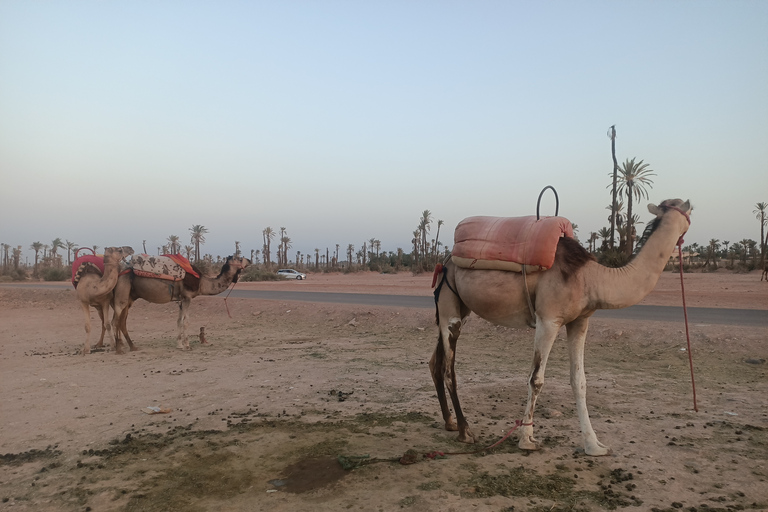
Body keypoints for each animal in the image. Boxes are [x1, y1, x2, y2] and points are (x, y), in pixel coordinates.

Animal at [112, 256, 249, 352]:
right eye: (238, 257)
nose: (249, 260)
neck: (201, 282)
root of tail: (119, 274)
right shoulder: (187, 297)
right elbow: (186, 321)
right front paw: (187, 346)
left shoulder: (181, 300)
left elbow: (178, 320)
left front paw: (179, 345)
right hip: (122, 294)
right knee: (115, 320)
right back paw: (118, 349)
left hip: (130, 298)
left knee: (122, 321)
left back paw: (132, 347)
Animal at [428, 199, 692, 456]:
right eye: (685, 208)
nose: (688, 215)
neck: (591, 278)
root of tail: (446, 260)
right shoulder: (548, 319)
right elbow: (536, 379)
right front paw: (527, 440)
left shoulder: (580, 321)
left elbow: (579, 381)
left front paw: (594, 446)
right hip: (449, 302)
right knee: (449, 368)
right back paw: (465, 431)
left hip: (457, 307)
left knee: (435, 362)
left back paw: (450, 422)